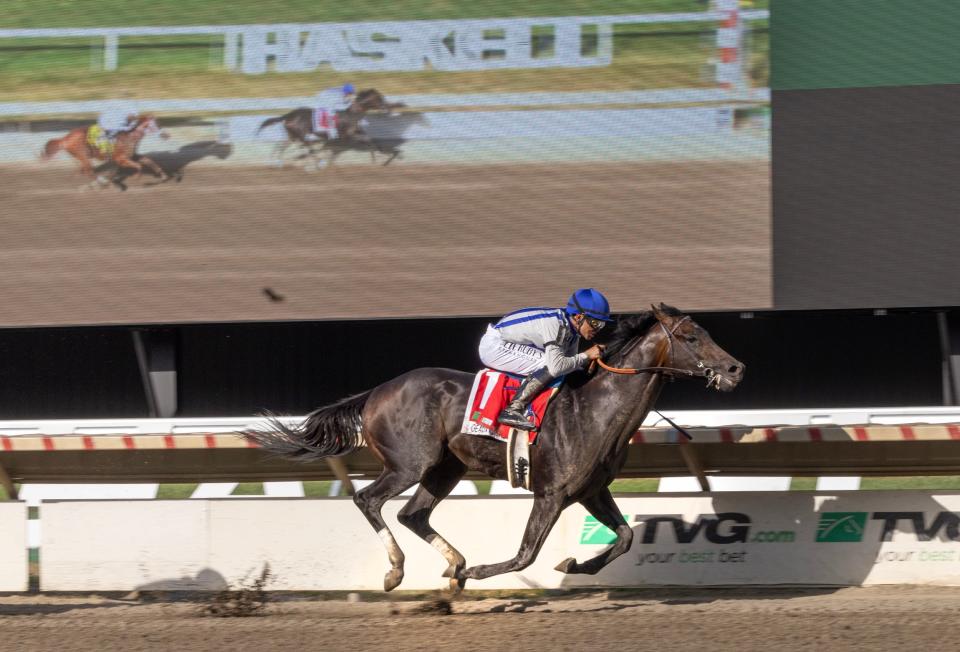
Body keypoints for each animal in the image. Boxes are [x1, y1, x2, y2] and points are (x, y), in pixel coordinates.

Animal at [244, 304, 748, 592]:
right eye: (690, 337)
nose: (735, 368)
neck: (594, 408)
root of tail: (375, 392)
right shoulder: (551, 494)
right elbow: (526, 554)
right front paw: (475, 575)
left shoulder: (591, 491)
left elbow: (624, 539)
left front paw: (576, 563)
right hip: (410, 463)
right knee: (368, 500)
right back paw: (399, 571)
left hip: (444, 469)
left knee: (412, 514)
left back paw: (453, 563)